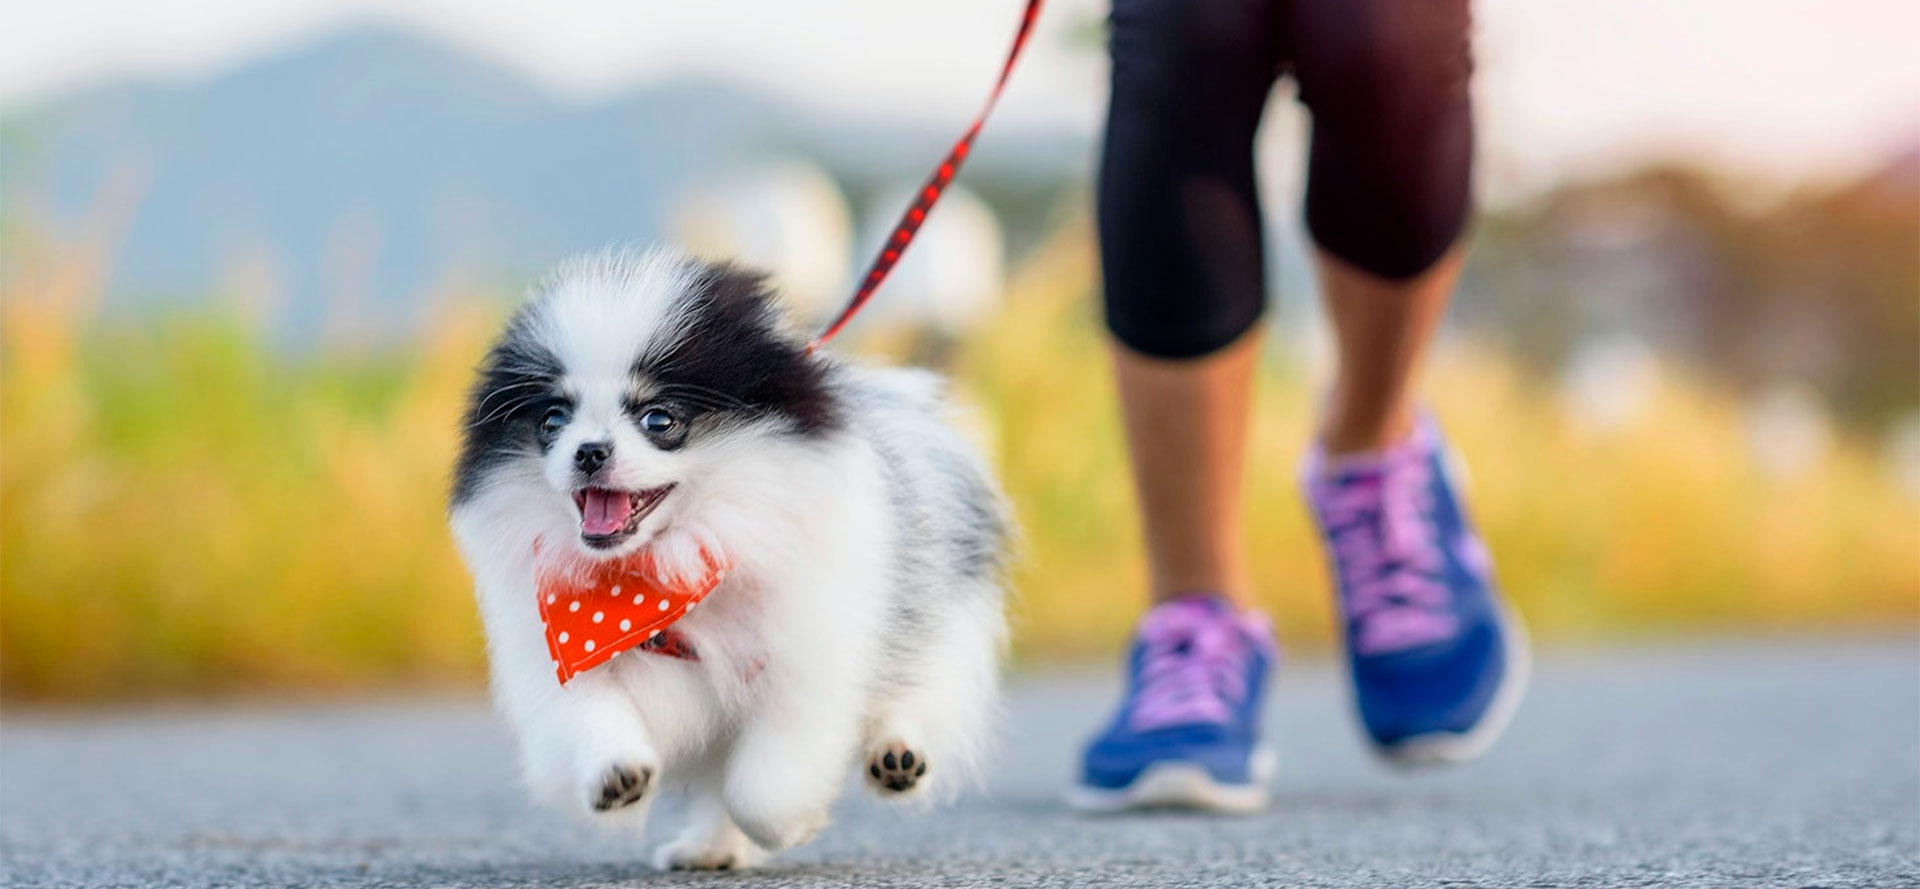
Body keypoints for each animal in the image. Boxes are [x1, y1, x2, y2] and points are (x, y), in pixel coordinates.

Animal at [451, 247, 1013, 871]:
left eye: (659, 419)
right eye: (552, 420)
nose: (588, 450)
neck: (660, 577)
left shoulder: (805, 657)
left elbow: (764, 786)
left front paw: (790, 825)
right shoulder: (566, 647)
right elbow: (590, 719)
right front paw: (616, 774)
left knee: (918, 692)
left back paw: (897, 757)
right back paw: (710, 848)